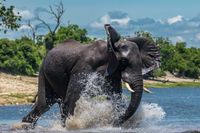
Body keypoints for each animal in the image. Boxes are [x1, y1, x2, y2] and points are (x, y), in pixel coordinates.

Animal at [21, 24, 160, 129]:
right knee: (46, 103)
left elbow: (116, 99)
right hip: (43, 70)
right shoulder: (83, 68)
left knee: (44, 105)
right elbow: (71, 101)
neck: (110, 48)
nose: (114, 123)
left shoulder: (113, 73)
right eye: (124, 61)